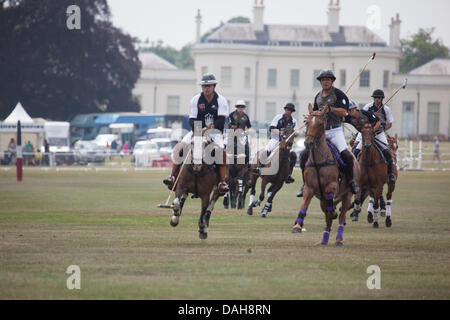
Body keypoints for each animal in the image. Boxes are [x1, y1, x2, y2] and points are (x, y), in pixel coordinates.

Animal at [292, 104, 362, 246]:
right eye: (307, 122)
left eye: (320, 123)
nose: (308, 143)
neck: (318, 162)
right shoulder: (309, 188)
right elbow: (304, 205)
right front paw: (297, 226)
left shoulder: (331, 187)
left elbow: (332, 206)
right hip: (322, 200)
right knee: (328, 218)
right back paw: (324, 239)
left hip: (347, 194)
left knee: (341, 216)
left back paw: (338, 239)